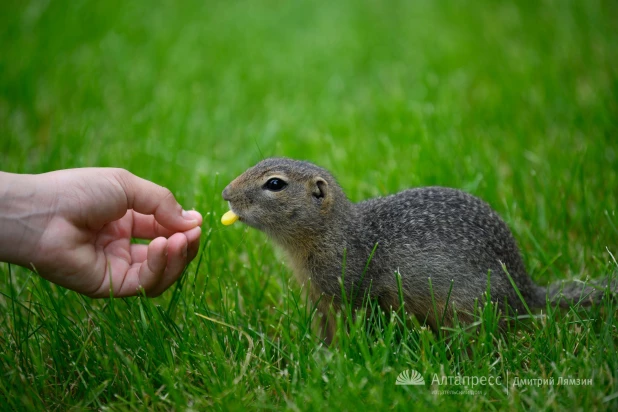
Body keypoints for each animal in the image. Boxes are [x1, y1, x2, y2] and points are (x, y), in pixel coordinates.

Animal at [220, 157, 608, 342]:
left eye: (274, 184)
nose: (225, 193)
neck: (338, 232)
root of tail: (525, 289)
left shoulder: (351, 294)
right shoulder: (321, 300)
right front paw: (322, 356)